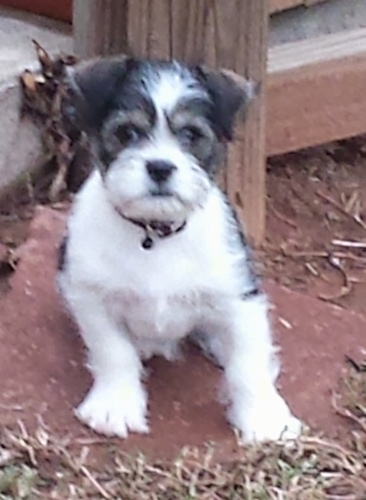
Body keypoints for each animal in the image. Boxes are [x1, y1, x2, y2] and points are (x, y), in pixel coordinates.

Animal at [58, 56, 302, 444]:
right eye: (128, 133)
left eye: (190, 135)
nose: (160, 167)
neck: (155, 235)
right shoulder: (91, 297)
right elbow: (114, 352)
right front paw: (115, 406)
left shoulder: (240, 299)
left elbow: (248, 364)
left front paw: (263, 417)